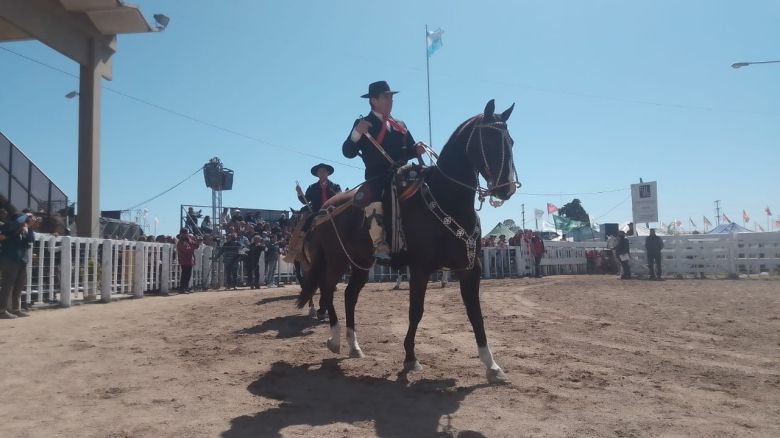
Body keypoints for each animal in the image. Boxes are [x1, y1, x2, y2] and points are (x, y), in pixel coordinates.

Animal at [294, 99, 516, 384]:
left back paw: (354, 345)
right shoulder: (420, 268)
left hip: (360, 264)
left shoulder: (470, 268)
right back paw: (334, 339)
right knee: (328, 290)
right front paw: (410, 358)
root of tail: (324, 208)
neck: (447, 199)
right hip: (335, 260)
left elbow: (475, 313)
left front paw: (492, 365)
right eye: (487, 140)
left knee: (349, 295)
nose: (507, 189)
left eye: (510, 141)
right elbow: (416, 311)